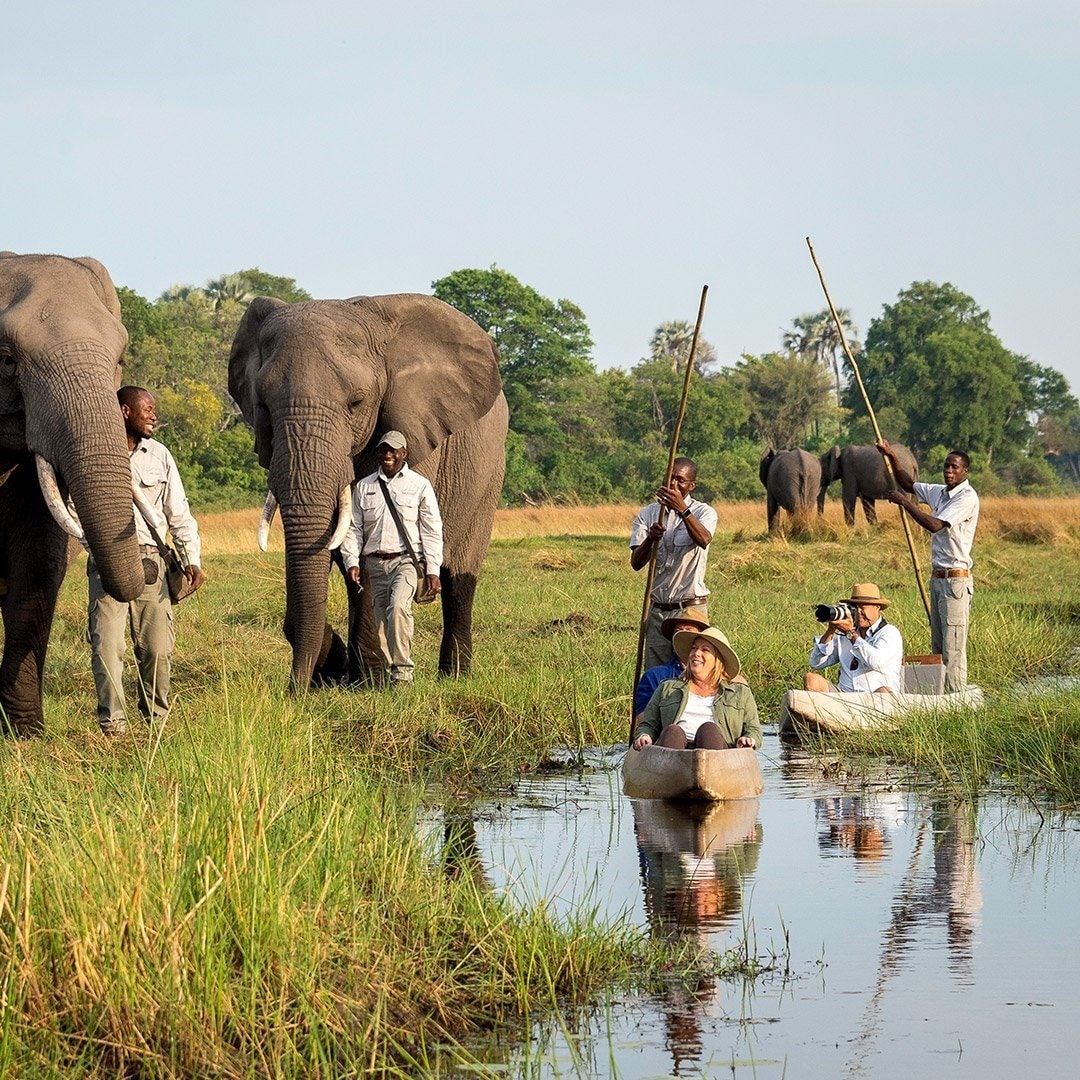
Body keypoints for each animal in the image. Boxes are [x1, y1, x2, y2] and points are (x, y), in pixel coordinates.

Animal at [224, 291, 509, 686]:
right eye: (262, 406)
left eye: (356, 403)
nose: (294, 690)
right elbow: (336, 544)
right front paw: (337, 670)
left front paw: (367, 679)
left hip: (490, 471)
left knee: (460, 575)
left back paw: (454, 675)